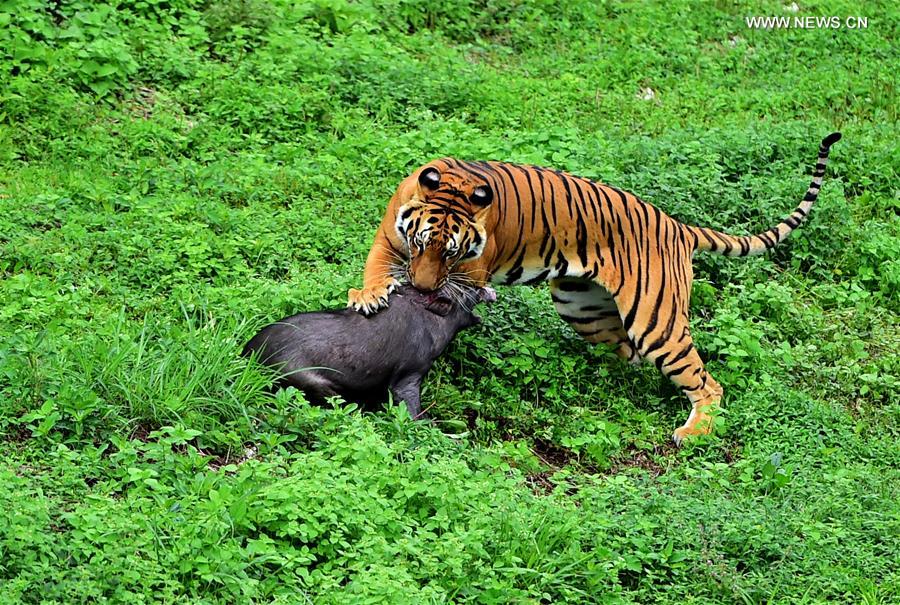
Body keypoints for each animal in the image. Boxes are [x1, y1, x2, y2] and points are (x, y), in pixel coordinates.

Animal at [348, 133, 840, 444]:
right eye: (419, 243)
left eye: (452, 253)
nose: (419, 282)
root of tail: (678, 226)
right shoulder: (389, 237)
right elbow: (376, 268)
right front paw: (369, 295)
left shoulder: (470, 273)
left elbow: (450, 297)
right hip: (582, 307)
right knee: (628, 358)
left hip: (656, 322)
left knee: (706, 383)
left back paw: (693, 432)